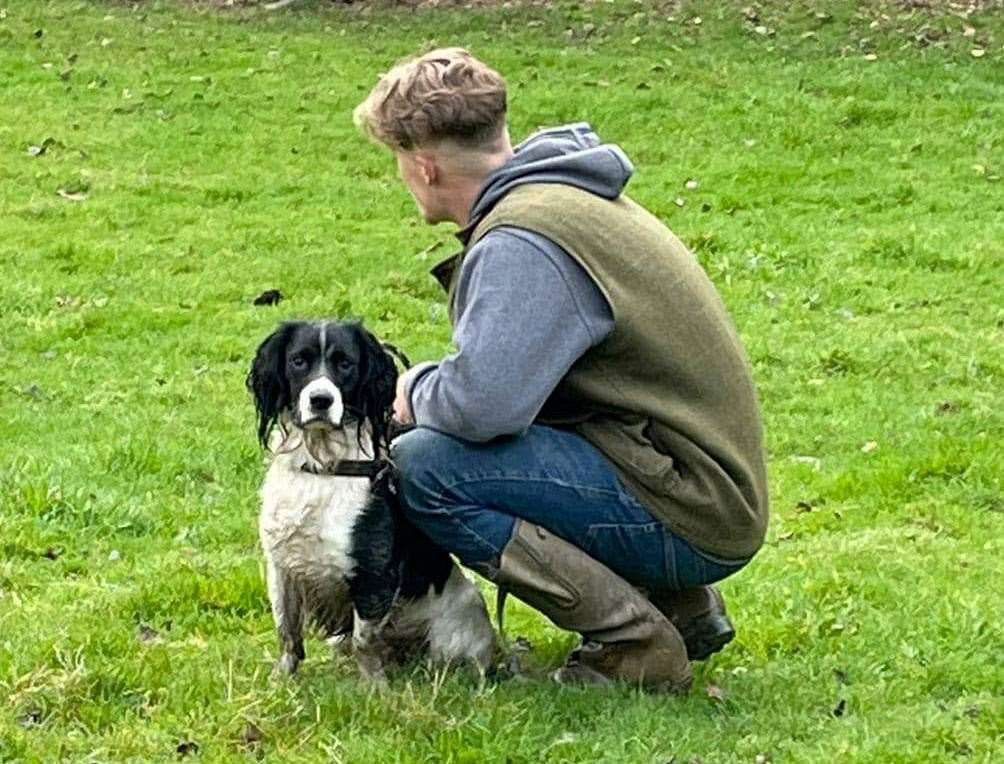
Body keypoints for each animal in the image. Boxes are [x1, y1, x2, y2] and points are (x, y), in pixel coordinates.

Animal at [243, 319, 493, 682]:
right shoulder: (282, 567)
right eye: (298, 361)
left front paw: (375, 687)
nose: (320, 400)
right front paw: (282, 681)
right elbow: (287, 632)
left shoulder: (373, 573)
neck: (324, 468)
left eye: (345, 364)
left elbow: (364, 641)